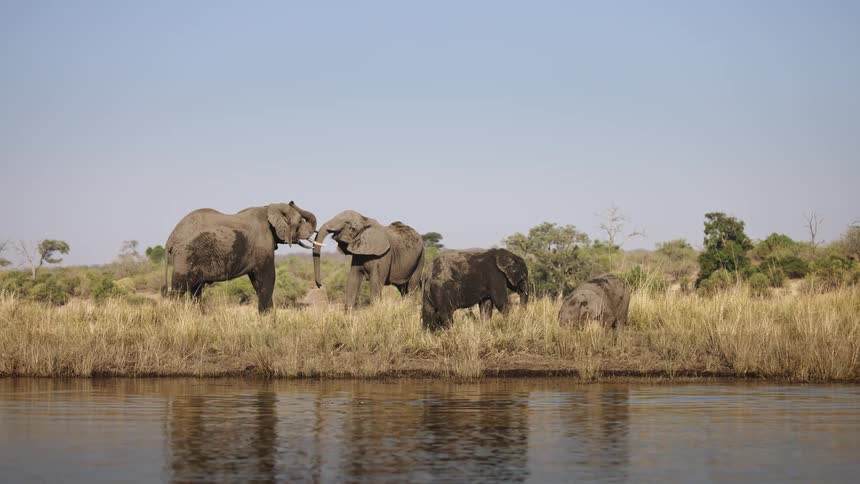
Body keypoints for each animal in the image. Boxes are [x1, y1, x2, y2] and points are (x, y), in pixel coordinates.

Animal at [163, 201, 318, 313]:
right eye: (300, 221)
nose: (292, 201)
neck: (269, 207)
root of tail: (171, 238)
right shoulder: (263, 244)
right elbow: (268, 277)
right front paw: (268, 318)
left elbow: (257, 281)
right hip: (185, 256)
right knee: (179, 289)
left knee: (195, 290)